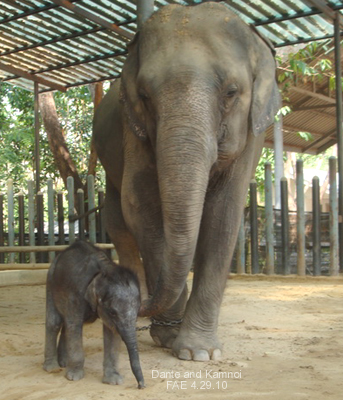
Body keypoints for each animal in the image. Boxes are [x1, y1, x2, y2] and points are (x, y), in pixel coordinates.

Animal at [43, 239, 145, 390]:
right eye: (112, 312)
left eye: (138, 311)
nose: (141, 386)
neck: (104, 270)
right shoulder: (76, 294)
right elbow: (75, 325)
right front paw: (74, 377)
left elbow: (111, 331)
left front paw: (113, 381)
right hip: (50, 280)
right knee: (55, 322)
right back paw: (52, 368)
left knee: (66, 325)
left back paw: (64, 363)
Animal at [93, 1, 280, 360]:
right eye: (144, 95)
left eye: (232, 92)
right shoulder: (132, 127)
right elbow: (140, 205)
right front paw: (169, 337)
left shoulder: (253, 131)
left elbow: (224, 214)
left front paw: (199, 353)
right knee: (118, 220)